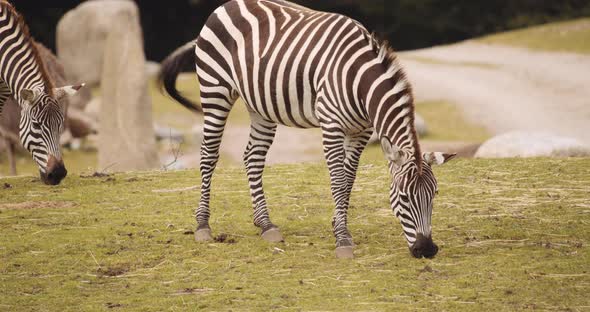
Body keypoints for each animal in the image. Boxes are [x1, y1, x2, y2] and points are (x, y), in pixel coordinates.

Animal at [158, 0, 458, 258]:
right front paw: (343, 240)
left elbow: (349, 179)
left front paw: (339, 224)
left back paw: (265, 224)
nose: (427, 250)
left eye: (434, 195)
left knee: (253, 157)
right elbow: (337, 179)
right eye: (405, 197)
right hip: (215, 89)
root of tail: (225, 5)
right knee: (209, 155)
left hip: (261, 104)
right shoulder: (332, 126)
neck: (359, 81)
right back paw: (203, 225)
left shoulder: (361, 131)